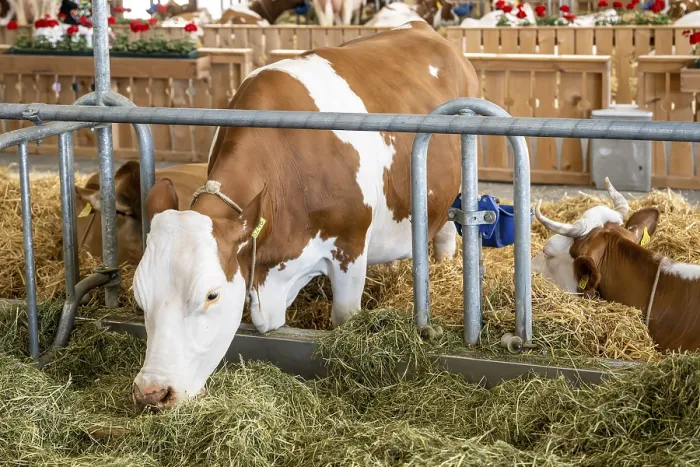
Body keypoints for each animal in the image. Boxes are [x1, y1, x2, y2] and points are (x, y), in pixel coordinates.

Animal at [130, 20, 478, 410]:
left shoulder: (350, 246)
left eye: (211, 295)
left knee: (446, 229)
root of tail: (420, 27)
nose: (152, 392)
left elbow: (343, 317)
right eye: (138, 294)